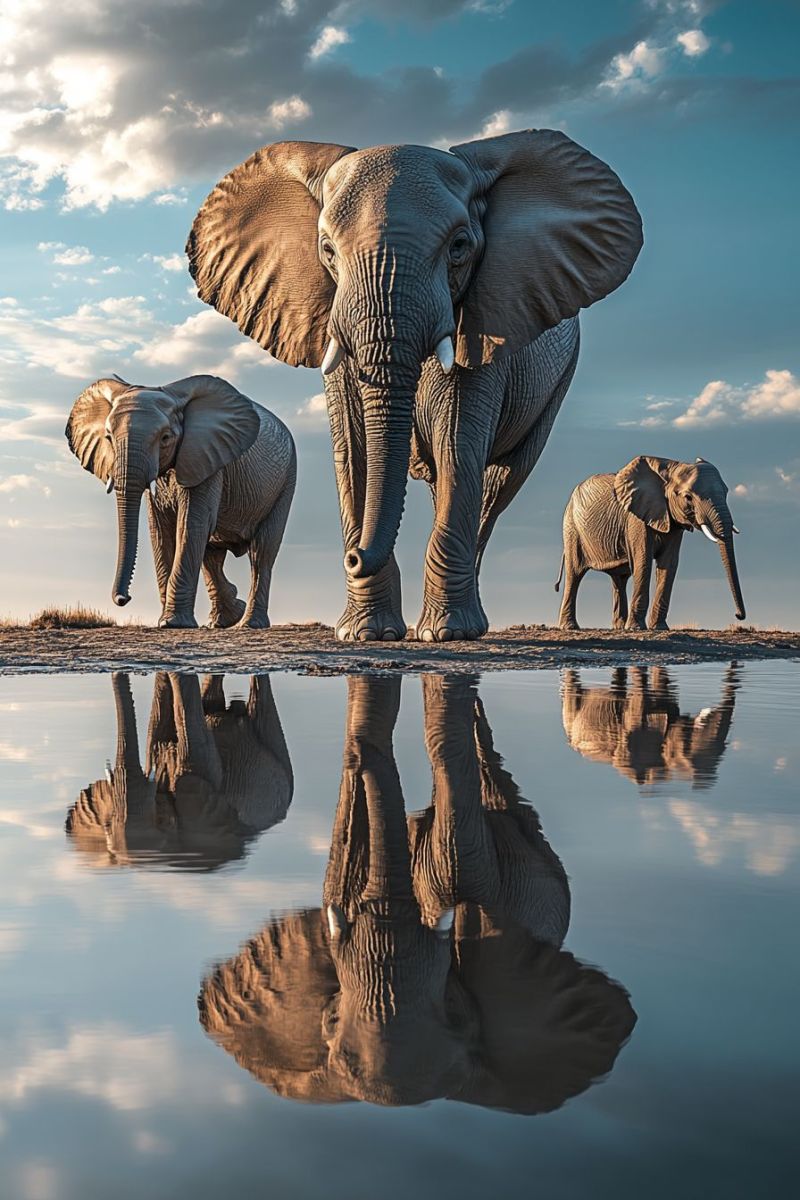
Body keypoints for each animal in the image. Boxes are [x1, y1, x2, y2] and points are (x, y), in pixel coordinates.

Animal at [65, 372, 296, 628]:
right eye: (108, 437)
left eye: (165, 438)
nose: (123, 598)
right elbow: (160, 531)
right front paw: (165, 621)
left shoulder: (206, 458)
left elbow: (189, 525)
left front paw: (172, 623)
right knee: (211, 552)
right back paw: (226, 618)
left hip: (286, 480)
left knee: (261, 552)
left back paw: (249, 623)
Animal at [188, 127, 642, 643]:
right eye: (327, 250)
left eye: (459, 246)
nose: (353, 556)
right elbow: (356, 447)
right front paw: (366, 634)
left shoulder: (488, 316)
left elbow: (458, 440)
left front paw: (444, 634)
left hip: (557, 385)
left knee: (495, 486)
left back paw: (466, 624)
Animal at [554, 453, 748, 633]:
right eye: (688, 497)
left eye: (726, 493)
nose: (738, 615)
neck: (670, 468)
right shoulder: (636, 519)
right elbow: (643, 561)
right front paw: (636, 628)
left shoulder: (672, 520)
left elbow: (669, 563)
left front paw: (659, 628)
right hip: (572, 528)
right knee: (575, 573)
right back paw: (570, 627)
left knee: (619, 578)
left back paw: (619, 627)